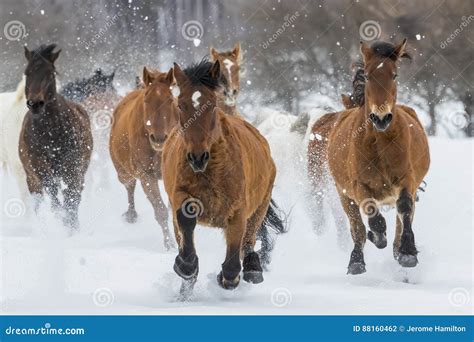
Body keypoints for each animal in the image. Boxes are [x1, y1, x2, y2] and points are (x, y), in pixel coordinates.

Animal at [19, 43, 92, 230]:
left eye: (50, 73)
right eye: (27, 73)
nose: (35, 104)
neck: (50, 134)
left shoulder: (72, 166)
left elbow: (71, 197)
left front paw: (71, 226)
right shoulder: (39, 167)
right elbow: (53, 194)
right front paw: (62, 220)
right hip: (31, 179)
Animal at [109, 67, 178, 250]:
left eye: (170, 99)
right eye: (146, 100)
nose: (159, 138)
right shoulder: (147, 175)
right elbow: (160, 211)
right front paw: (170, 245)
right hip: (123, 173)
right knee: (129, 185)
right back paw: (131, 215)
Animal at [161, 58, 284, 292]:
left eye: (212, 105)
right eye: (180, 105)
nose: (197, 157)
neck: (210, 172)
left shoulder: (238, 210)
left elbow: (233, 262)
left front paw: (227, 277)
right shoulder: (179, 195)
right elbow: (186, 218)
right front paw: (186, 265)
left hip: (260, 207)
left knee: (249, 241)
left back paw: (253, 268)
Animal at [308, 39, 430, 276]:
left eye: (394, 75)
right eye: (367, 75)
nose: (381, 118)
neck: (380, 142)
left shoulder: (406, 181)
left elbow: (404, 209)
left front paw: (408, 253)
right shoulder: (358, 186)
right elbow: (371, 216)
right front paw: (377, 237)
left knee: (400, 220)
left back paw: (397, 249)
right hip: (343, 194)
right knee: (357, 226)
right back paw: (357, 260)